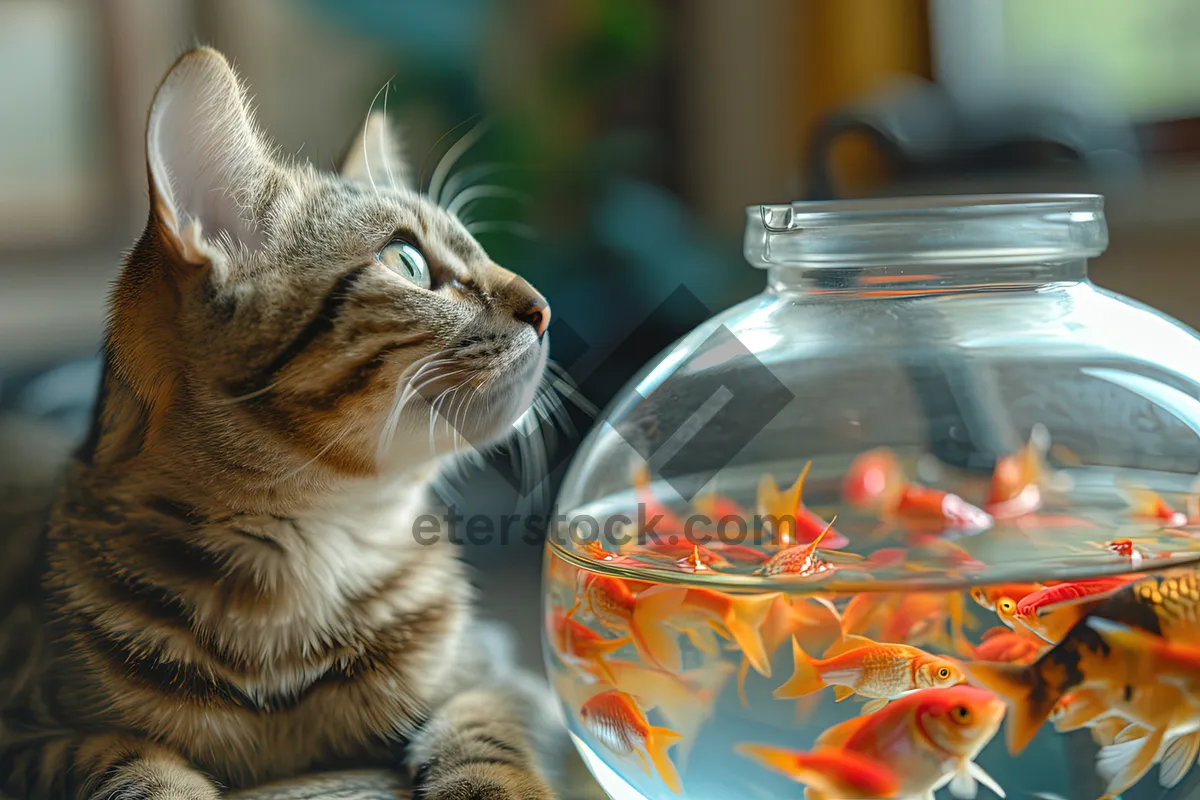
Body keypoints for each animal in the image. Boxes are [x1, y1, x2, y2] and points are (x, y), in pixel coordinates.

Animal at [0, 47, 566, 796]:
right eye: (408, 262)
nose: (545, 307)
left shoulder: (496, 677)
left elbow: (485, 732)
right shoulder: (24, 731)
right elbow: (126, 760)